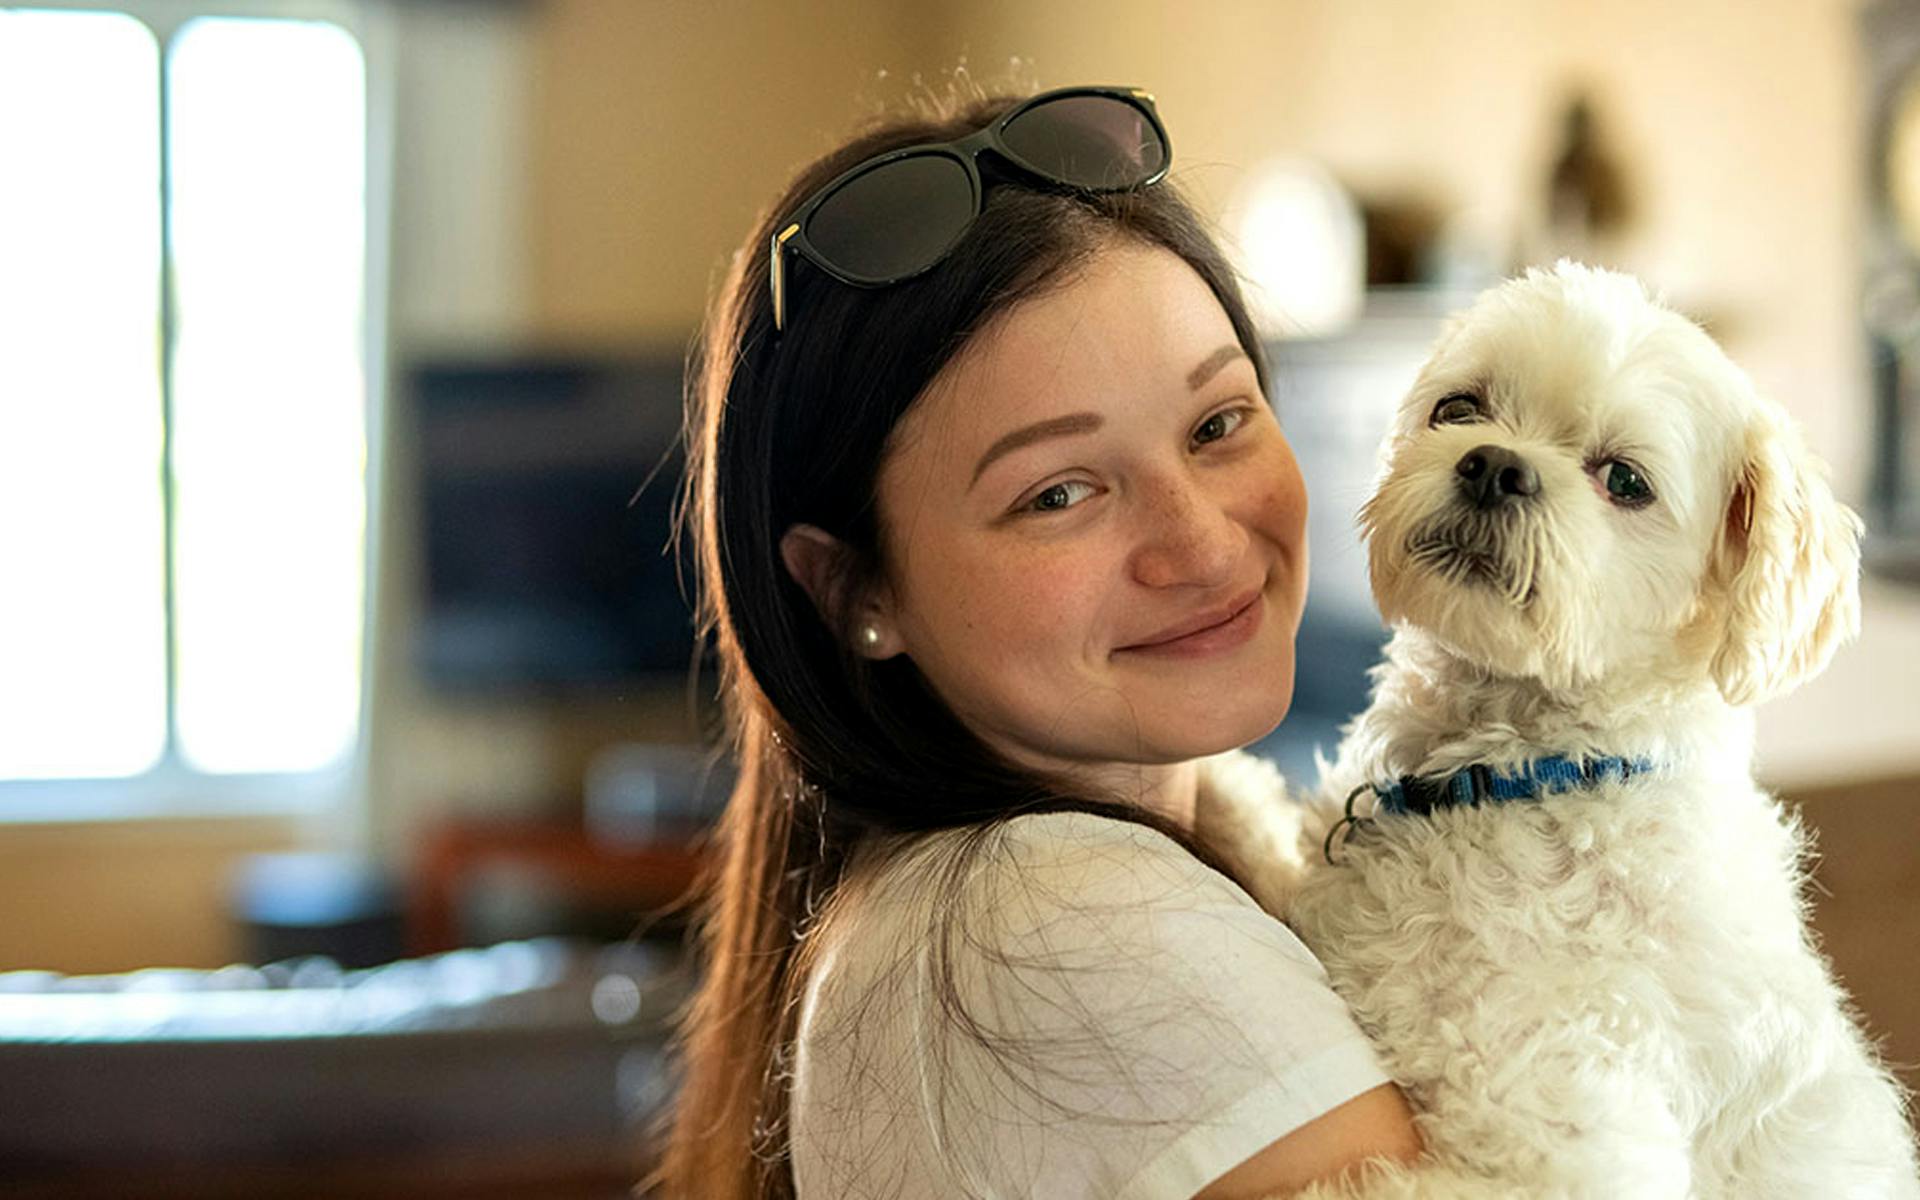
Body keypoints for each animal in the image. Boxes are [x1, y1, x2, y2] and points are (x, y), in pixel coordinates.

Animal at [1205, 264, 1912, 1198]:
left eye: (1625, 481)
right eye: (1459, 408)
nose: (1495, 466)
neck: (1519, 779)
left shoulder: (1564, 1137)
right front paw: (1218, 784)